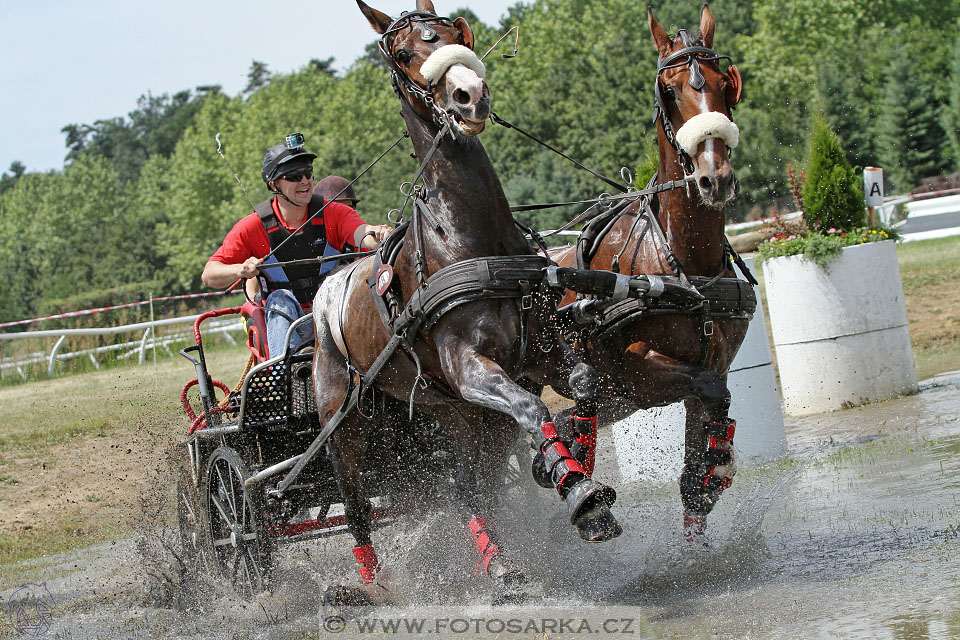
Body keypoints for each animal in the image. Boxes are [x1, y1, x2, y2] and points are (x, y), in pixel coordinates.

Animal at [552, 3, 752, 544]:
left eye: (726, 84)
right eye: (669, 89)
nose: (714, 177)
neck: (684, 269)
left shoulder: (715, 362)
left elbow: (696, 467)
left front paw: (709, 489)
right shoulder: (635, 373)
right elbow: (713, 391)